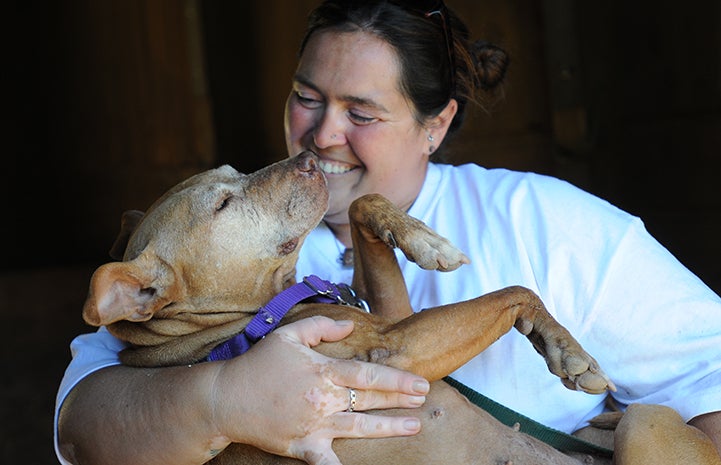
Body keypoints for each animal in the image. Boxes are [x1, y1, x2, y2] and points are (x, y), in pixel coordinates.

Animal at [83, 153, 716, 464]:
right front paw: (567, 351)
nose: (308, 157)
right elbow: (512, 292)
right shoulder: (395, 351)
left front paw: (423, 240)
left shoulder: (393, 312)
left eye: (233, 173)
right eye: (222, 205)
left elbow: (365, 200)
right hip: (646, 424)